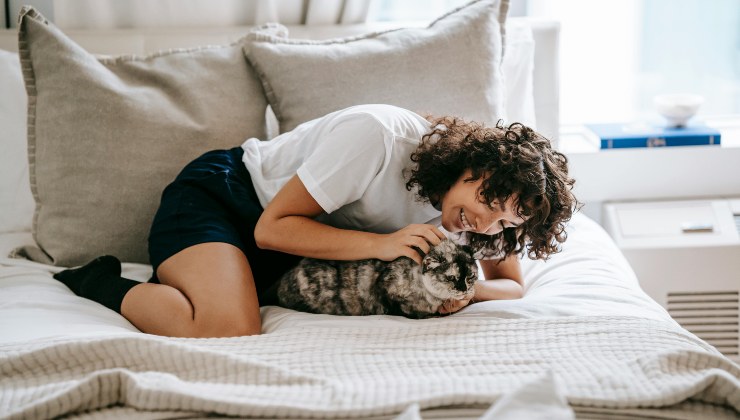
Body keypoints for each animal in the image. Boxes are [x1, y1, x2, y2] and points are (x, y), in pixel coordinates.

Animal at [278, 240, 480, 318]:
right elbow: (403, 309)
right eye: (451, 277)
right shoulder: (385, 288)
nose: (464, 289)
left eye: (470, 276)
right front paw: (428, 315)